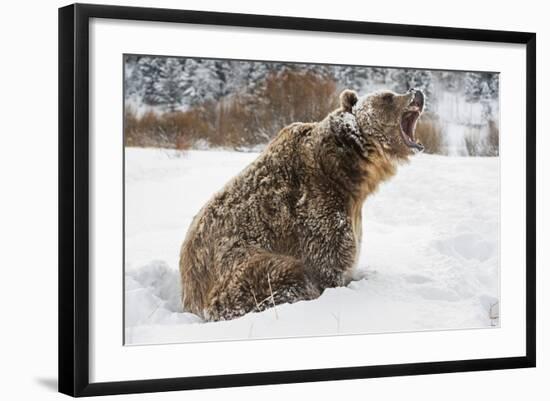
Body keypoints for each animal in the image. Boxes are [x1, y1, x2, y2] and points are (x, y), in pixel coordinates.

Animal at [181, 86, 426, 318]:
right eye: (388, 97)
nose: (417, 92)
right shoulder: (315, 203)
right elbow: (329, 260)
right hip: (237, 266)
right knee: (283, 273)